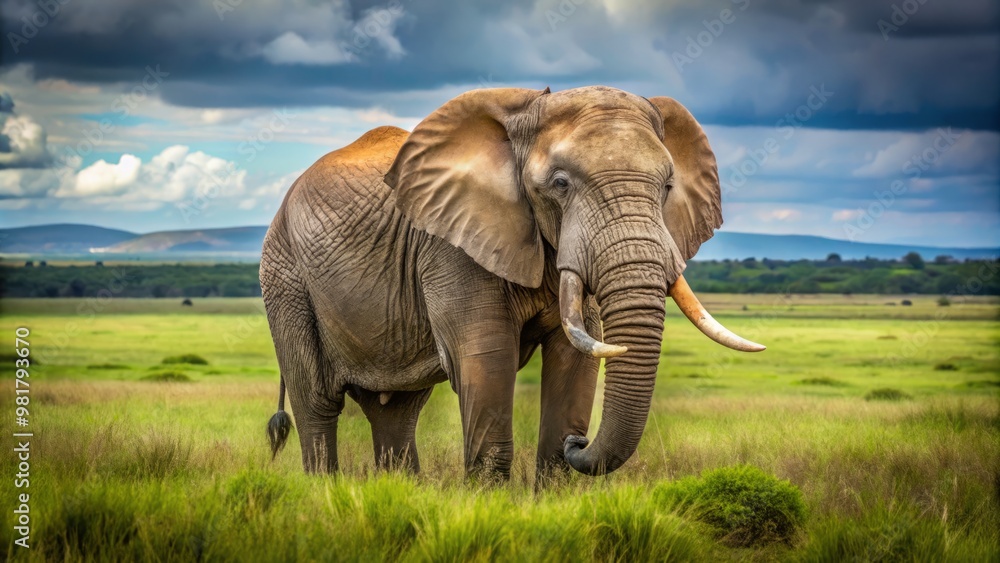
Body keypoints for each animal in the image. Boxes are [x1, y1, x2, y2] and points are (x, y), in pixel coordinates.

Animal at [261, 85, 764, 481]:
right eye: (560, 184)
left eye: (667, 187)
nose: (580, 441)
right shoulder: (451, 247)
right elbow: (486, 357)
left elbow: (577, 354)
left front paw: (559, 466)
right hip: (285, 279)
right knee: (317, 404)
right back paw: (325, 491)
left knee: (397, 411)